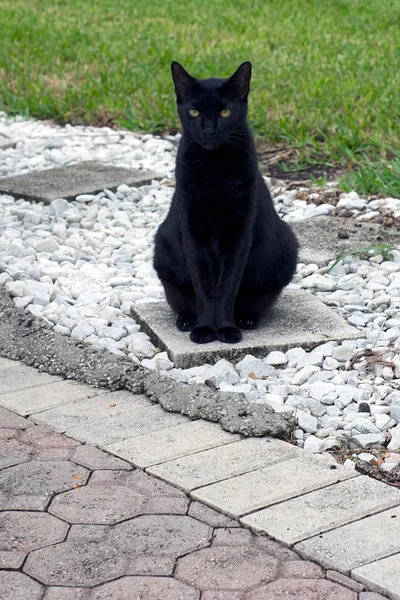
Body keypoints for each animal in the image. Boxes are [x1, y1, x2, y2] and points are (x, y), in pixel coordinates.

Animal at [155, 61, 298, 344]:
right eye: (194, 111)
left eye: (225, 112)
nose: (209, 130)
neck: (215, 170)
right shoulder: (193, 232)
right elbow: (204, 286)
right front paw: (204, 329)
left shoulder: (239, 233)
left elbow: (228, 286)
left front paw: (225, 329)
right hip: (163, 249)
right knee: (183, 299)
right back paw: (187, 320)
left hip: (285, 249)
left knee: (253, 300)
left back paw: (247, 319)